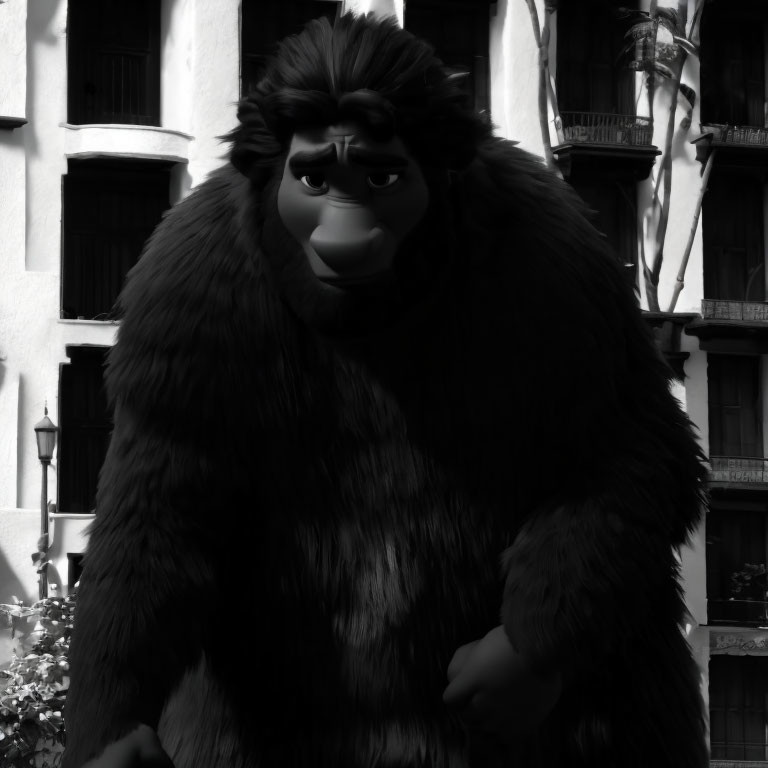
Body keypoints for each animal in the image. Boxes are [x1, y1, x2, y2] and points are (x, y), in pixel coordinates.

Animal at [63, 12, 712, 768]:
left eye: (381, 176)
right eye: (314, 179)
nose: (345, 240)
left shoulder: (559, 262)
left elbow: (627, 449)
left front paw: (511, 667)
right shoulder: (187, 289)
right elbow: (161, 519)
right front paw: (115, 739)